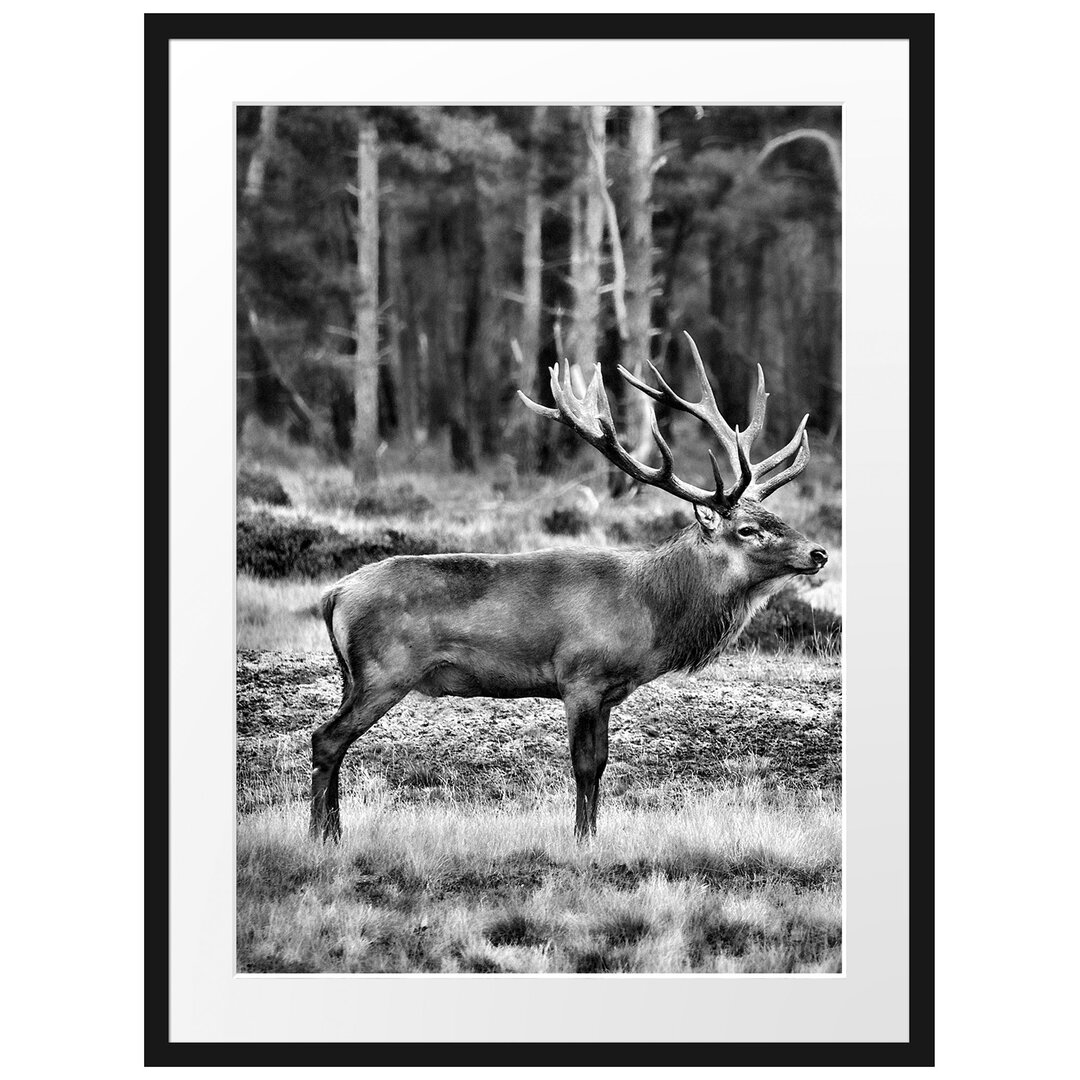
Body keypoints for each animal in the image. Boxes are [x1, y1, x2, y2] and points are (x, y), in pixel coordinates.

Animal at [311, 332, 825, 838]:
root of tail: (334, 594)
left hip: (352, 675)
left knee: (333, 740)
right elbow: (584, 766)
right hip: (385, 670)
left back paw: (332, 831)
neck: (650, 615)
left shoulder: (609, 691)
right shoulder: (580, 676)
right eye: (748, 530)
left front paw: (593, 835)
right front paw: (579, 839)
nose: (818, 553)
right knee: (326, 738)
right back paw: (323, 834)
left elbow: (602, 765)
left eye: (775, 516)